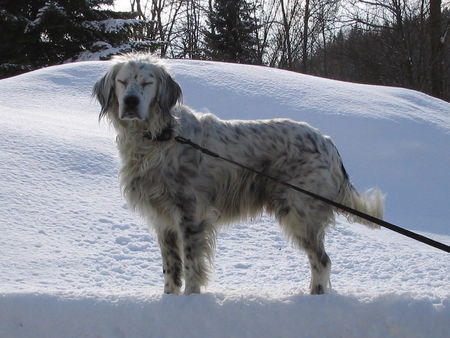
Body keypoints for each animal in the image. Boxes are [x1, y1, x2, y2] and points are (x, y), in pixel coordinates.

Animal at [94, 54, 384, 294]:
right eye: (122, 82)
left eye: (147, 82)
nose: (131, 102)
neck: (158, 138)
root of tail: (327, 142)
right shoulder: (163, 221)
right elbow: (171, 271)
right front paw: (170, 301)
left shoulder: (190, 215)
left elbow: (191, 268)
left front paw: (189, 303)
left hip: (301, 214)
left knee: (322, 261)